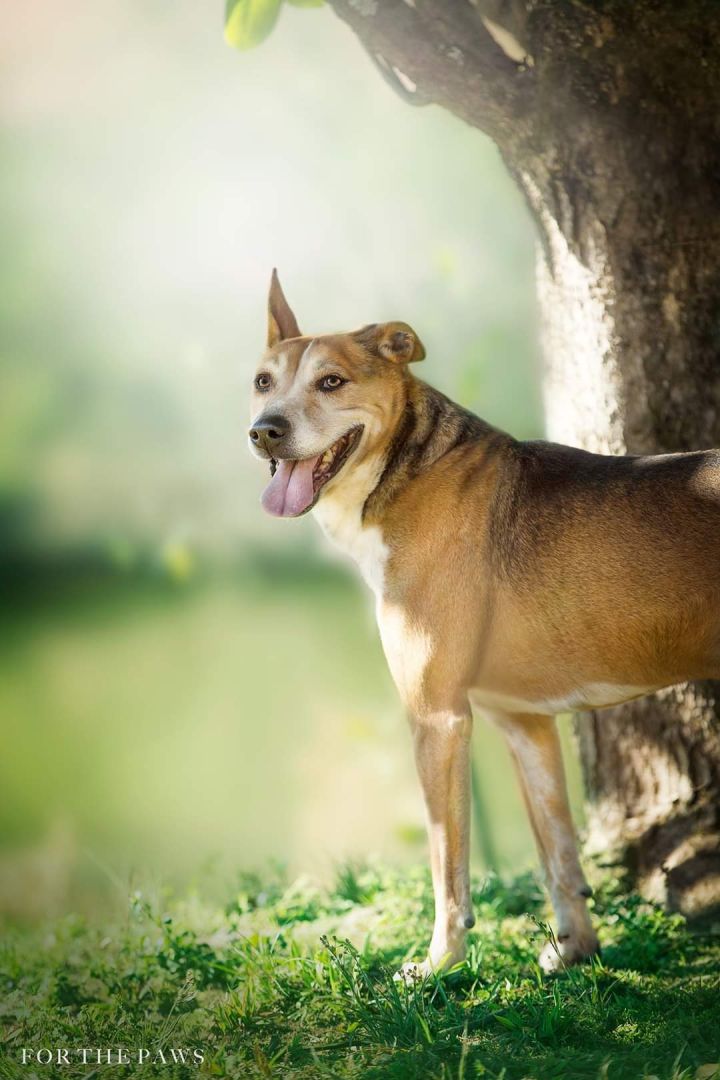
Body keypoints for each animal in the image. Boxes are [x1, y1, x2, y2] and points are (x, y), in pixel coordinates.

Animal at [249, 270, 720, 980]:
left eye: (332, 381)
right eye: (262, 382)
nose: (265, 431)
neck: (403, 471)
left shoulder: (437, 720)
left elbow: (448, 869)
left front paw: (438, 966)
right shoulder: (524, 724)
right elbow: (559, 857)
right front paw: (575, 951)